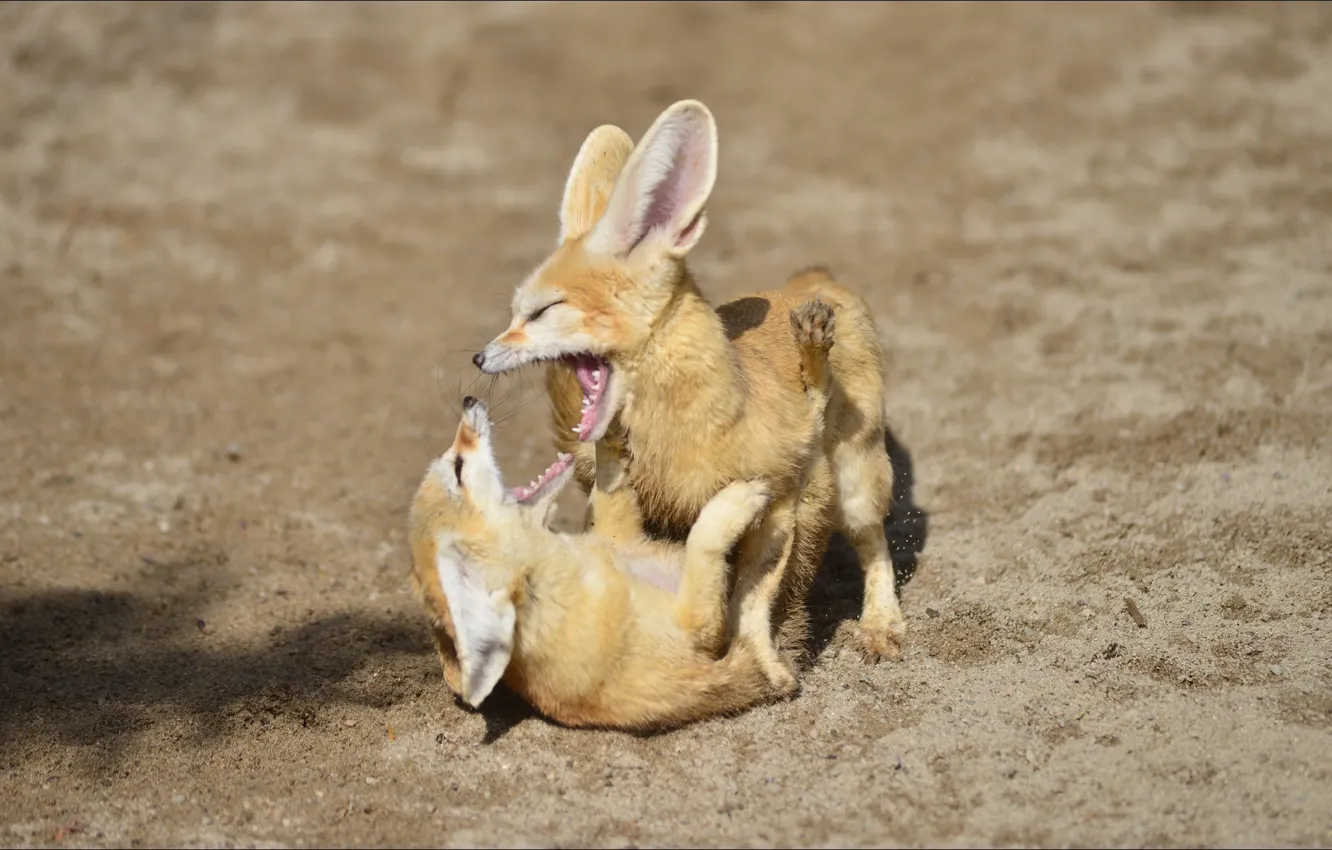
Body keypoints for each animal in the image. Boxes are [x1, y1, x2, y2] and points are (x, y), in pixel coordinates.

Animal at [470, 100, 905, 692]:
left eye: (541, 311)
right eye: (516, 311)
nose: (478, 358)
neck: (685, 432)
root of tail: (814, 282)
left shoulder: (786, 505)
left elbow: (756, 598)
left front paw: (766, 664)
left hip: (859, 478)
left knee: (874, 543)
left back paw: (882, 626)